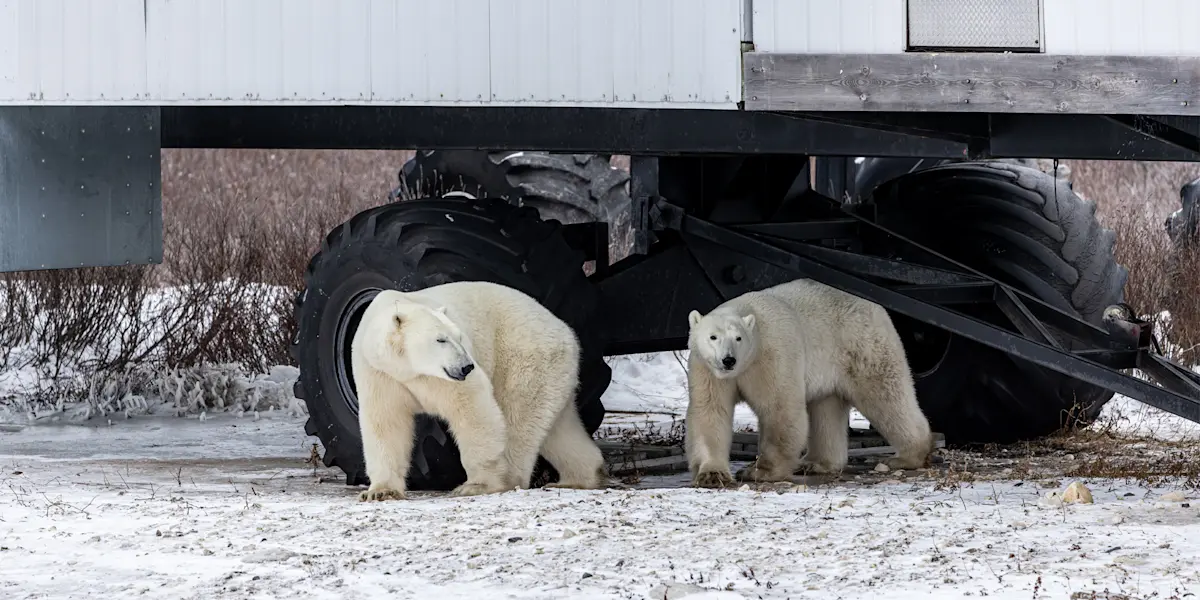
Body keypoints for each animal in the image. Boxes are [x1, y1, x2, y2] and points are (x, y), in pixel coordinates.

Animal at [350, 280, 609, 501]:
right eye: (441, 339)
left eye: (459, 337)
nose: (467, 366)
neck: (407, 370)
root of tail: (568, 333)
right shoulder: (380, 374)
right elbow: (386, 423)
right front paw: (380, 492)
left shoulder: (441, 378)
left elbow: (472, 408)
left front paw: (477, 485)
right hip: (552, 374)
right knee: (559, 426)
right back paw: (580, 478)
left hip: (523, 358)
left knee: (519, 419)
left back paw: (510, 478)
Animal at [684, 278, 935, 488]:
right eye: (713, 337)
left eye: (738, 338)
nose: (728, 360)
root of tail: (876, 306)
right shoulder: (706, 368)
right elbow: (711, 411)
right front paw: (711, 475)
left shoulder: (771, 356)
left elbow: (779, 409)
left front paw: (758, 471)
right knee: (826, 408)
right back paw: (816, 463)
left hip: (863, 346)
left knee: (885, 395)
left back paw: (906, 457)